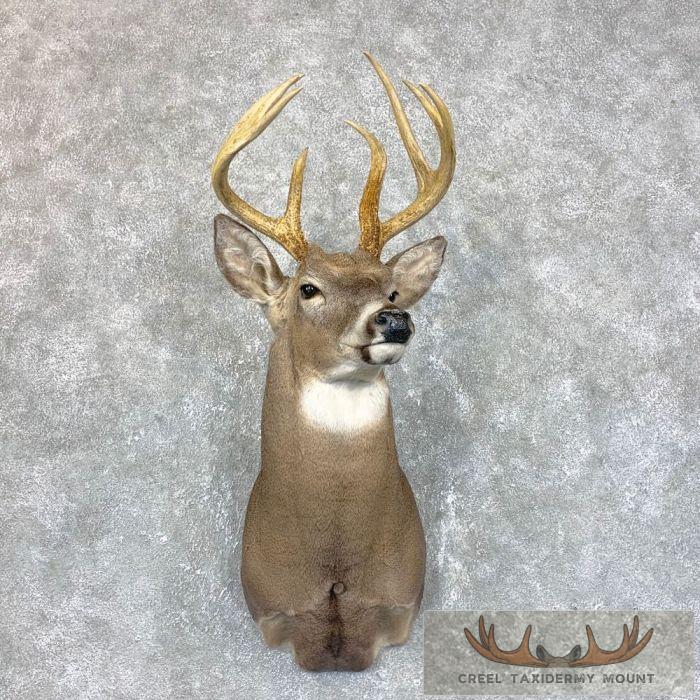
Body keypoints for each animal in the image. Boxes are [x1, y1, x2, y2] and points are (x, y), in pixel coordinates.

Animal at [210, 53, 455, 671]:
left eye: (392, 289)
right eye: (308, 289)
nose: (393, 320)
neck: (335, 564)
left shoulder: (400, 602)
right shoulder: (273, 609)